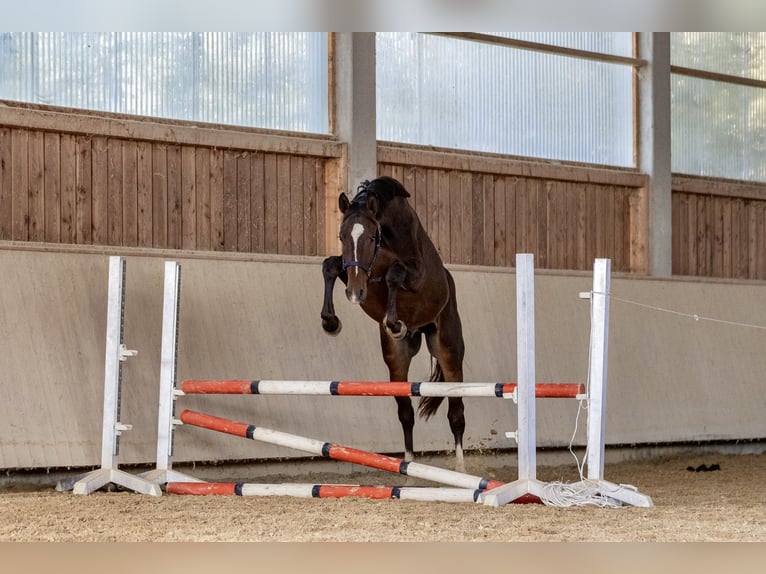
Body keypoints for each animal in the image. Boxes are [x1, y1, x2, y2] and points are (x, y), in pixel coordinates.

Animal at [318, 179, 468, 472]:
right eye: (342, 237)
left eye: (370, 238)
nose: (355, 294)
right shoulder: (352, 272)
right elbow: (330, 265)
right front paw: (330, 321)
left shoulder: (415, 272)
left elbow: (394, 273)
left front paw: (394, 322)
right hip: (397, 361)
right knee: (405, 412)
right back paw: (407, 466)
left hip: (448, 352)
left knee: (456, 414)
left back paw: (461, 468)